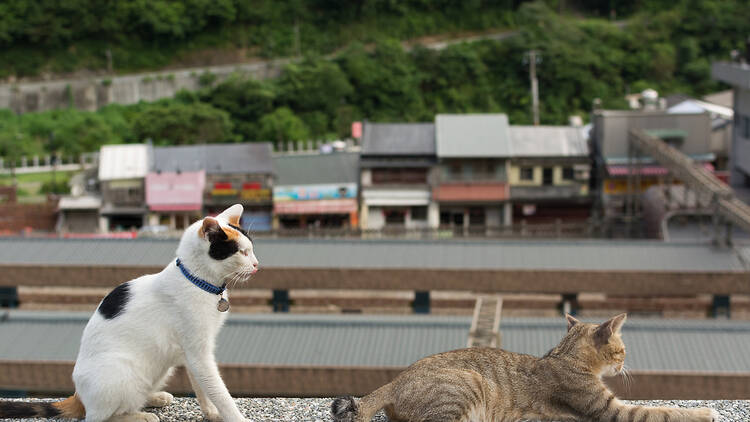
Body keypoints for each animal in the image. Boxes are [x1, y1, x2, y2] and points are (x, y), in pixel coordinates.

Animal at [0, 203, 258, 420]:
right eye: (241, 252)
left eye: (251, 250)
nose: (257, 265)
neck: (200, 282)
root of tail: (79, 397)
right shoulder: (198, 352)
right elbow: (218, 390)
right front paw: (233, 416)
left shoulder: (194, 353)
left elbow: (202, 388)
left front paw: (212, 413)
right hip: (122, 374)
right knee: (99, 418)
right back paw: (140, 416)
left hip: (160, 368)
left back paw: (154, 397)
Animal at [332, 314, 720, 422]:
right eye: (622, 349)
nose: (625, 363)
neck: (566, 356)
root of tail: (396, 380)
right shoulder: (609, 411)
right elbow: (664, 412)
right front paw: (706, 412)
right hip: (466, 387)